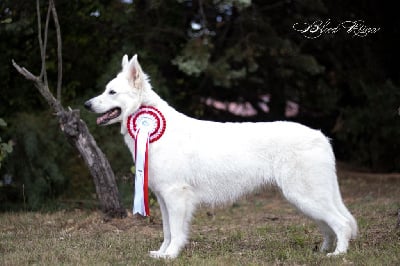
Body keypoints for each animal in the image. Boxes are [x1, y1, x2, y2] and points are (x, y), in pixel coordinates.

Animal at [83, 54, 356, 260]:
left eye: (111, 92)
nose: (86, 105)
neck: (151, 129)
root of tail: (321, 137)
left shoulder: (175, 196)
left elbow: (176, 232)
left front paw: (171, 255)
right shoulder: (163, 197)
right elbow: (167, 230)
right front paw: (162, 253)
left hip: (305, 196)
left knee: (341, 223)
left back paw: (338, 255)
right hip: (304, 199)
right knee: (329, 226)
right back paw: (322, 251)